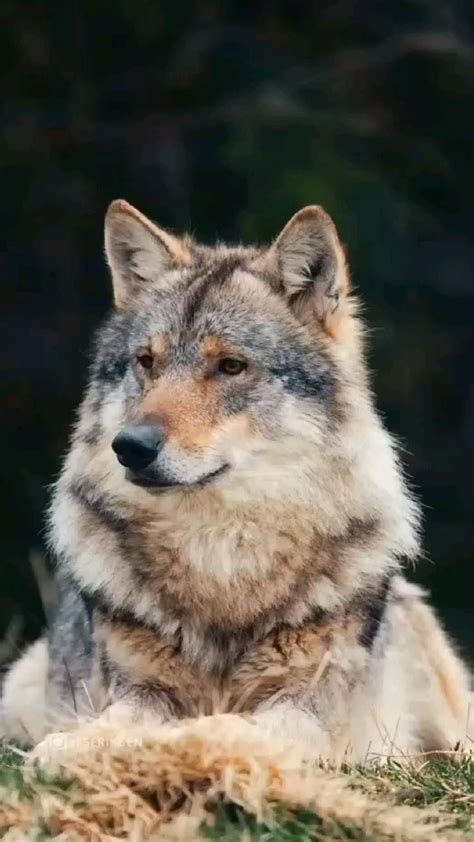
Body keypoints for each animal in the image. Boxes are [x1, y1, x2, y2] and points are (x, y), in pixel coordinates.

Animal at [2, 200, 471, 762]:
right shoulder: (137, 690)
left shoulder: (308, 709)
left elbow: (221, 725)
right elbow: (114, 722)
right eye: (147, 362)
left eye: (230, 366)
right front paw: (69, 748)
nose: (130, 446)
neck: (219, 556)